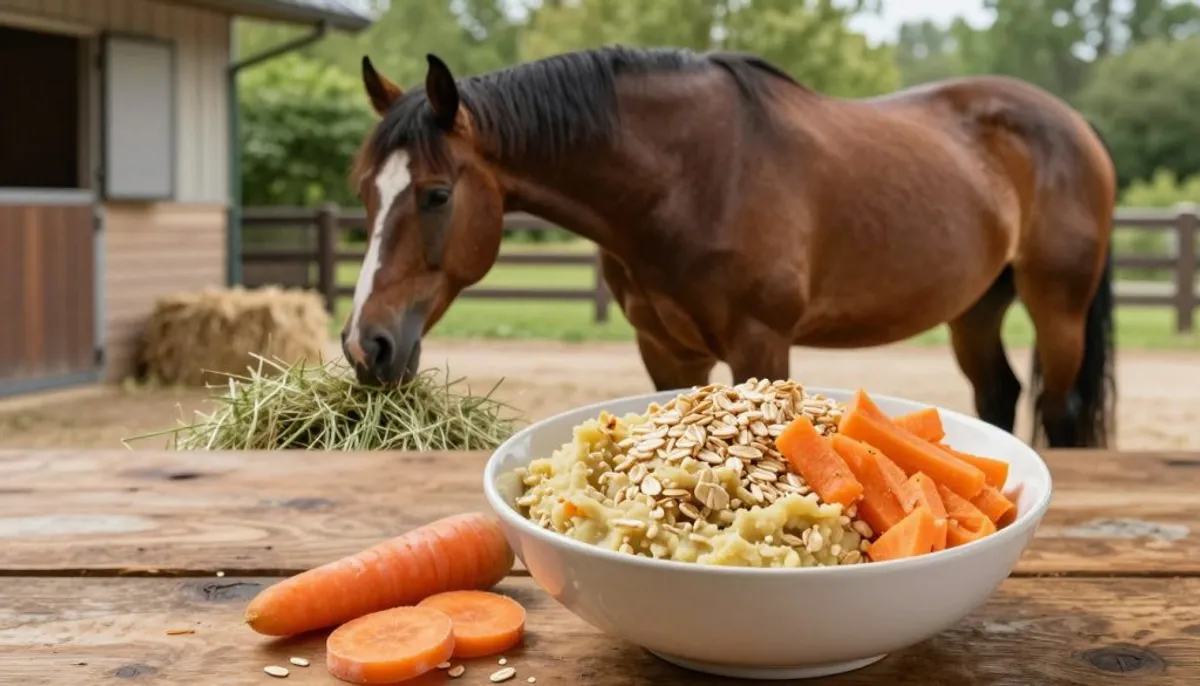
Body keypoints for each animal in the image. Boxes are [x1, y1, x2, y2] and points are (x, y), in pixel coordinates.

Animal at [340, 45, 1116, 449]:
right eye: (365, 191)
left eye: (437, 194)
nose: (365, 346)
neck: (688, 177)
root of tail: (1076, 125)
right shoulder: (665, 351)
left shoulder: (760, 341)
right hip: (977, 308)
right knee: (998, 394)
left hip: (1058, 309)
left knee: (1060, 412)